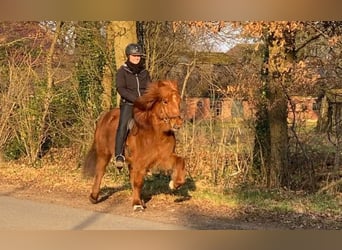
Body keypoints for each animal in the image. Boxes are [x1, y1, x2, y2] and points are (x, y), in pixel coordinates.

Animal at [84, 80, 186, 211]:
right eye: (165, 101)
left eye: (178, 100)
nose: (178, 123)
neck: (156, 132)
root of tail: (104, 117)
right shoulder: (141, 162)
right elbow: (138, 182)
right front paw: (137, 204)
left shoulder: (164, 157)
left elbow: (180, 161)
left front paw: (174, 184)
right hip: (104, 154)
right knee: (100, 172)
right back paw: (94, 197)